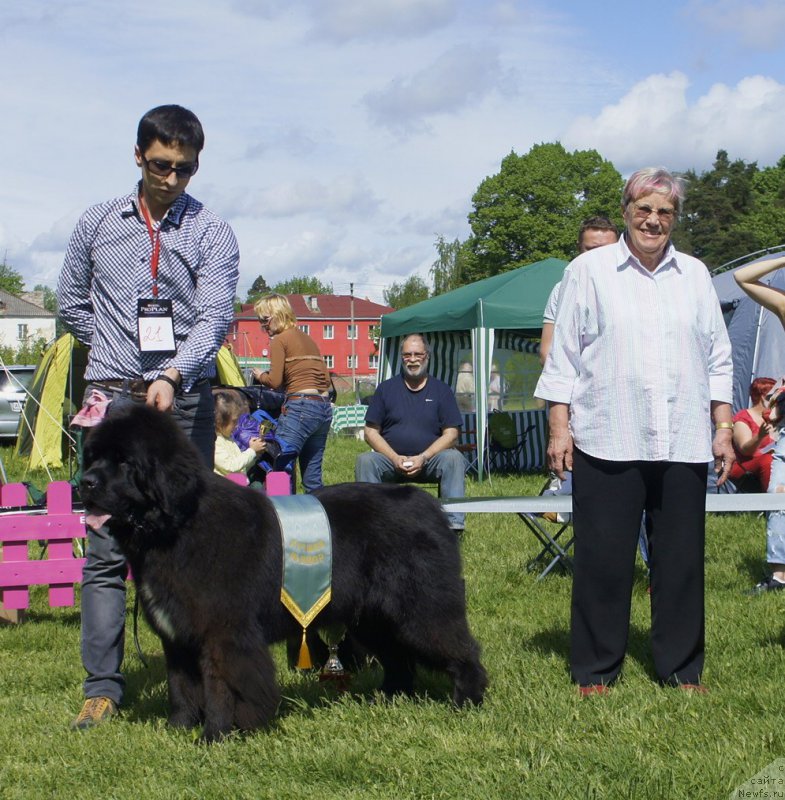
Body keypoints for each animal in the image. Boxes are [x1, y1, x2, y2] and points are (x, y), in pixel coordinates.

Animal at [78, 406, 484, 744]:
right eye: (94, 457)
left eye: (125, 462)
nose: (85, 482)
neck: (178, 526)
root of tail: (430, 505)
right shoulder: (177, 635)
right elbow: (180, 685)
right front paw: (177, 729)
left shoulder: (223, 633)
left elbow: (221, 686)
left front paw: (215, 736)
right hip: (374, 617)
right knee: (398, 657)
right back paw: (388, 698)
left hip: (421, 608)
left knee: (460, 648)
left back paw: (468, 700)